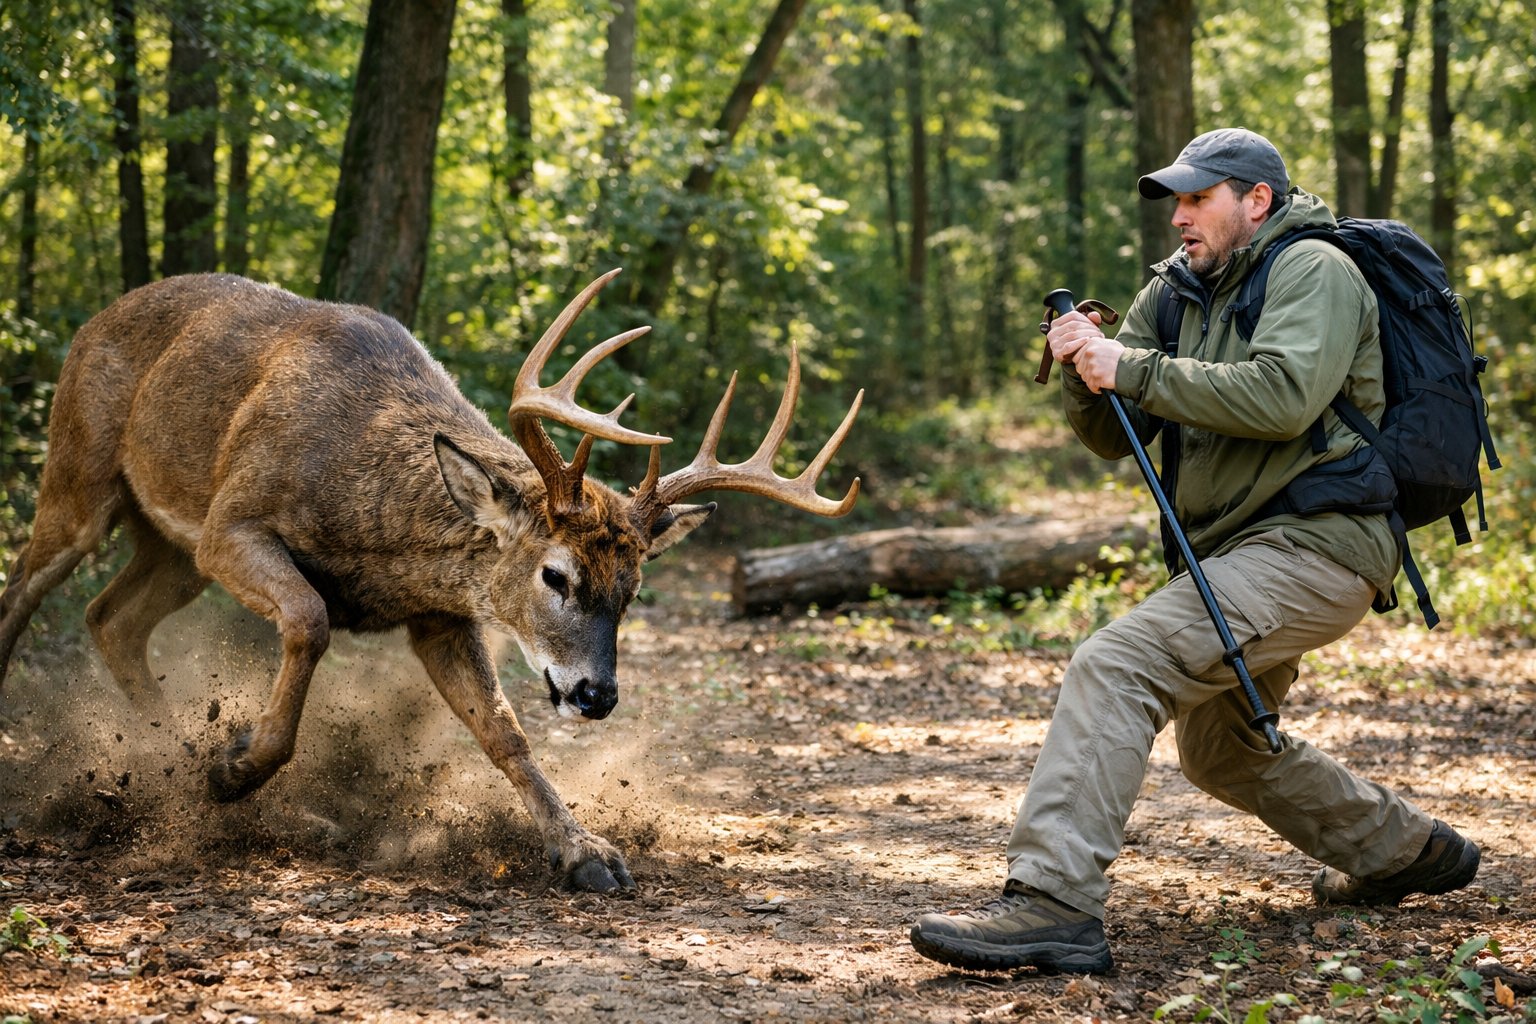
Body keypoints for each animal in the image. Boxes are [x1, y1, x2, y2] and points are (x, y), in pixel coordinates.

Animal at [0, 269, 861, 893]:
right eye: (556, 574)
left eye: (633, 590)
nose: (596, 695)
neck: (377, 527)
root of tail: (96, 319)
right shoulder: (232, 520)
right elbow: (309, 616)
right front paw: (236, 766)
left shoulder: (441, 614)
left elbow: (502, 728)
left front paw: (587, 852)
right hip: (82, 473)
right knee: (26, 590)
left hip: (168, 548)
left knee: (109, 618)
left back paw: (208, 768)